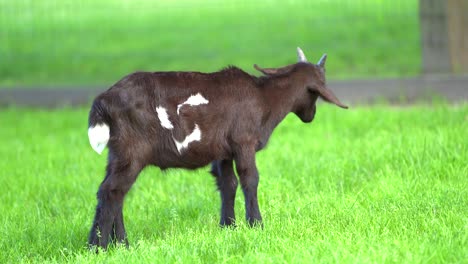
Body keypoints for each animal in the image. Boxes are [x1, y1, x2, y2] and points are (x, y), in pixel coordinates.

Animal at [88, 48, 348, 250]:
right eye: (320, 86)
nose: (310, 116)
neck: (265, 99)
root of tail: (103, 101)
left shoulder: (223, 151)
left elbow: (227, 183)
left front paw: (228, 226)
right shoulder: (243, 142)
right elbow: (250, 179)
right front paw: (256, 224)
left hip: (117, 152)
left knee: (110, 191)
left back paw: (114, 244)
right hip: (132, 152)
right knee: (112, 191)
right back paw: (102, 247)